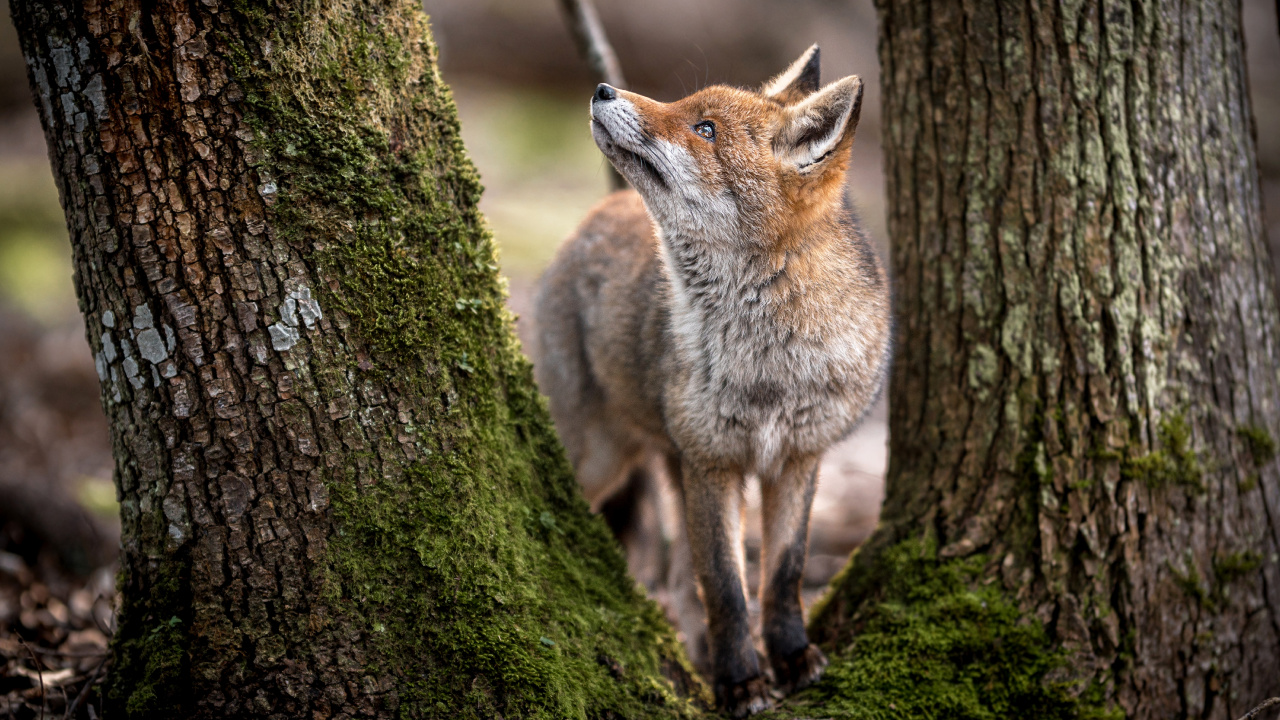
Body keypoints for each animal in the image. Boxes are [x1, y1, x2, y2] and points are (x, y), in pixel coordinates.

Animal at [532, 45, 891, 717]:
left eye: (705, 130)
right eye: (685, 107)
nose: (601, 89)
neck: (769, 364)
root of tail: (598, 211)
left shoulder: (799, 458)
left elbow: (782, 574)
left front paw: (790, 656)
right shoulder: (712, 462)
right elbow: (725, 587)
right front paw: (740, 681)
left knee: (679, 581)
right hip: (600, 458)